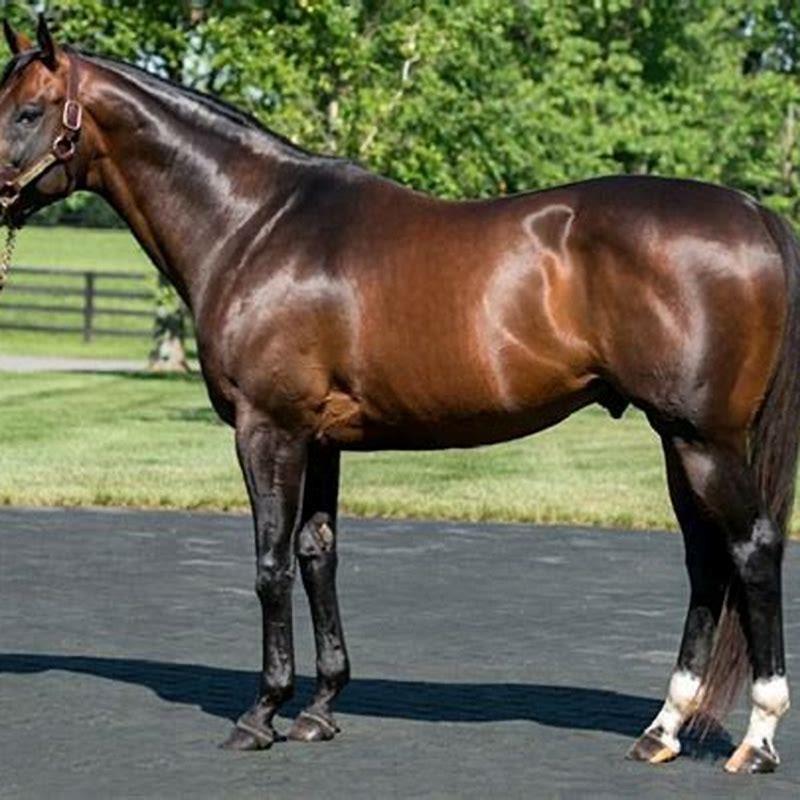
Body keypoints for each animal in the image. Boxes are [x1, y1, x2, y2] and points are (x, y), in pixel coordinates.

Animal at [0, 16, 797, 775]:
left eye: (28, 111)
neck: (254, 224)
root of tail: (754, 214)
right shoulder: (318, 438)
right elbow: (318, 554)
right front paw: (320, 708)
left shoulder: (267, 429)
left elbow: (270, 564)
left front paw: (261, 714)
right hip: (676, 439)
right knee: (705, 562)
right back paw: (661, 730)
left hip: (704, 440)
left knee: (752, 549)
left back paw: (756, 740)